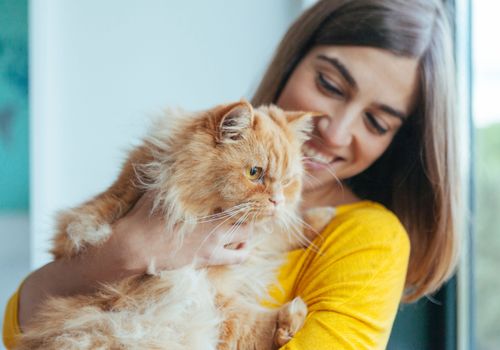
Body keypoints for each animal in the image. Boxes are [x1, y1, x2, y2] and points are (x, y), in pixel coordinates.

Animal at [17, 100, 334, 350]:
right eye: (254, 173)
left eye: (288, 181)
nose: (277, 200)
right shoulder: (199, 290)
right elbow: (254, 326)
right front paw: (292, 320)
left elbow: (281, 232)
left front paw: (323, 217)